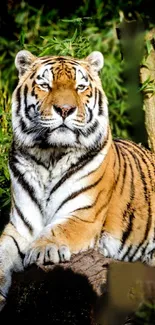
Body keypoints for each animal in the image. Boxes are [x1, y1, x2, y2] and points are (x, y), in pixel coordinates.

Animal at [0, 48, 155, 308]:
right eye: (45, 85)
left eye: (80, 87)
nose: (65, 109)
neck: (50, 156)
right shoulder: (20, 226)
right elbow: (2, 253)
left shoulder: (83, 215)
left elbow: (58, 230)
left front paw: (42, 250)